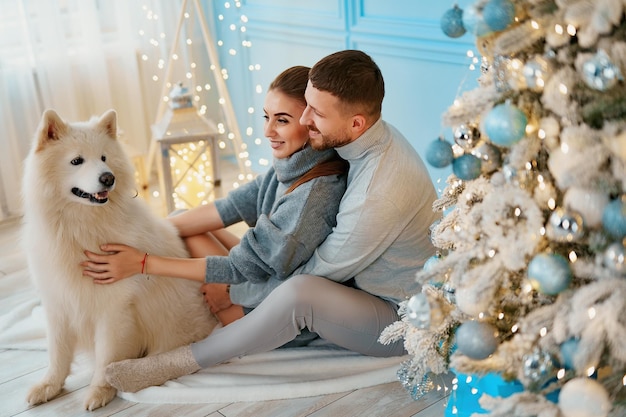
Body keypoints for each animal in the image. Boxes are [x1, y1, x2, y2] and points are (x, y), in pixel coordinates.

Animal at [22, 109, 217, 410]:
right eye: (76, 161)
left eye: (104, 157)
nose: (107, 178)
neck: (79, 226)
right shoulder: (58, 301)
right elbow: (57, 353)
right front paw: (49, 386)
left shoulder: (113, 309)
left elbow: (107, 357)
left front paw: (99, 392)